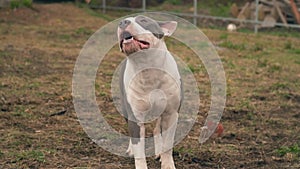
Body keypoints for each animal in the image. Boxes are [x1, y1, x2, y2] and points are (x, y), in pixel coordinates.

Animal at [118, 15, 182, 168]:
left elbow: (167, 144)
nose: (122, 22)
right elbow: (139, 150)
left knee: (157, 129)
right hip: (125, 108)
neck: (147, 68)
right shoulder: (135, 116)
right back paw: (131, 150)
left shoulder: (171, 114)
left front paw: (167, 164)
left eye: (143, 20)